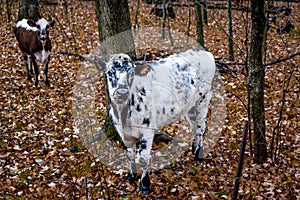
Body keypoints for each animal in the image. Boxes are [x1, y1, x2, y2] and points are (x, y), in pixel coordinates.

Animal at [97, 47, 217, 194]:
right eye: (110, 72)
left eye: (131, 73)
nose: (122, 92)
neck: (123, 114)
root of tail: (202, 51)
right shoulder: (123, 132)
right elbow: (130, 154)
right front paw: (131, 176)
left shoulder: (147, 131)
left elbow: (143, 158)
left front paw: (145, 185)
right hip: (190, 106)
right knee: (194, 127)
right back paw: (194, 149)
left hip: (203, 99)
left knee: (200, 128)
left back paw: (198, 156)